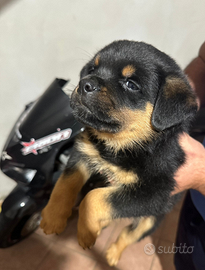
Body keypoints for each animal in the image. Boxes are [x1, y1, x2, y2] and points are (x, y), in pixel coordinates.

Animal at [40, 40, 197, 266]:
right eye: (92, 69)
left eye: (131, 84)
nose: (85, 83)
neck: (120, 146)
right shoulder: (83, 154)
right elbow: (64, 184)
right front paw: (53, 217)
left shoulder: (152, 194)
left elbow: (94, 198)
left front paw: (85, 230)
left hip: (152, 218)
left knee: (128, 233)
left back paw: (111, 253)